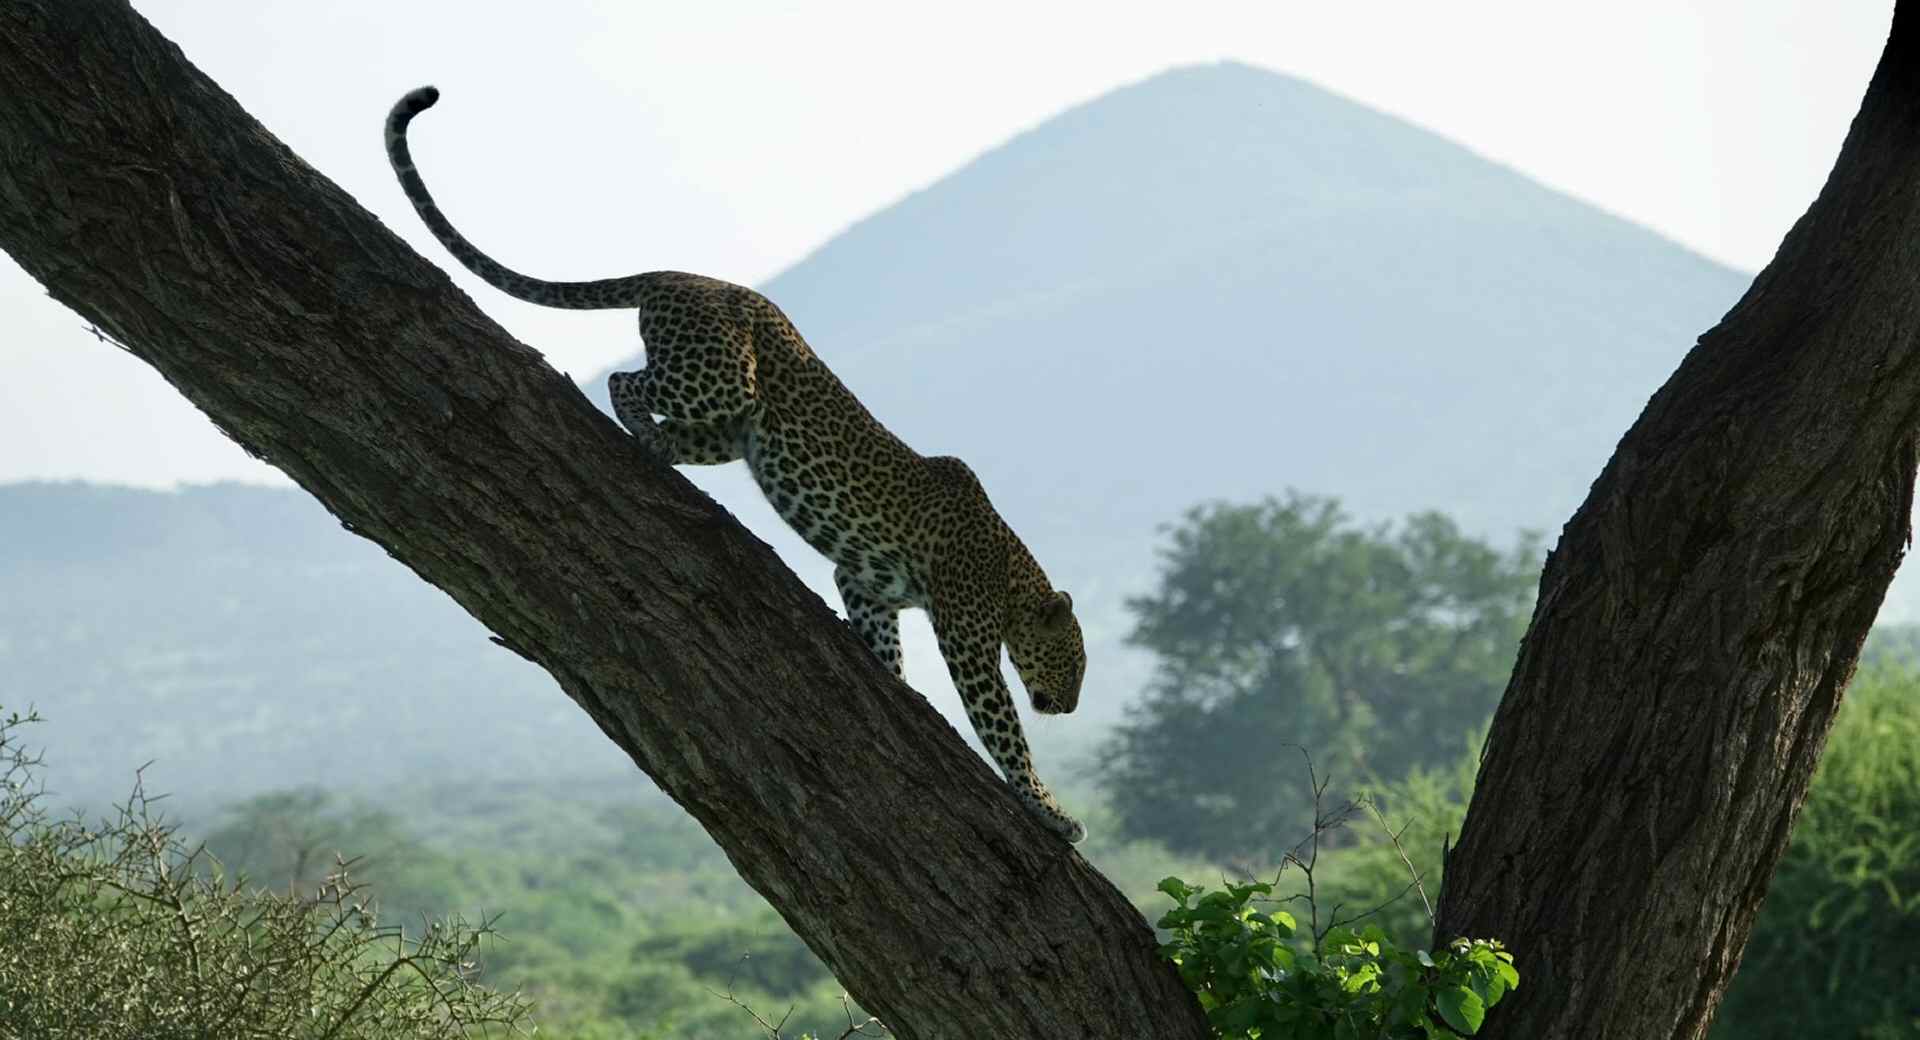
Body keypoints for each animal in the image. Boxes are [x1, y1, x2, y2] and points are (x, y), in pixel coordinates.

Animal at [386, 86, 1087, 842]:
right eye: (1073, 661)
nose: (1073, 706)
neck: (1012, 577)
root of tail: (679, 273)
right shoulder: (965, 634)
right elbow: (1004, 728)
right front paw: (1049, 810)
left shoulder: (867, 583)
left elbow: (884, 644)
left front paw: (895, 685)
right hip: (723, 378)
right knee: (625, 383)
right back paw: (643, 439)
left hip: (734, 427)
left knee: (673, 418)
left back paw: (661, 448)